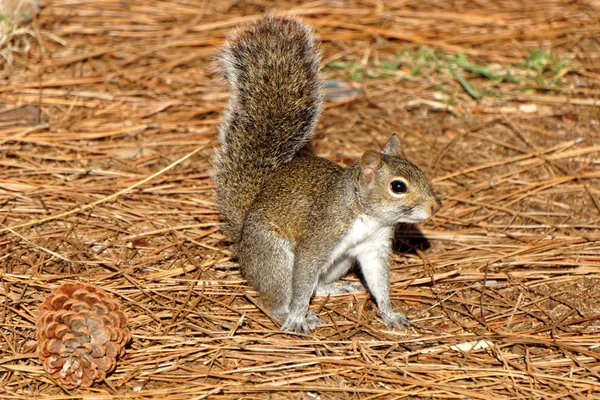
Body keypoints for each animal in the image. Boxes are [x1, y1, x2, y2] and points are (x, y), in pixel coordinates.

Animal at [212, 15, 440, 332]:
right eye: (398, 186)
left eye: (421, 171)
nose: (435, 206)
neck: (366, 214)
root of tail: (242, 239)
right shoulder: (319, 236)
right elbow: (303, 280)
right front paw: (297, 315)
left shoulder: (373, 246)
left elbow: (378, 280)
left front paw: (390, 313)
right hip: (275, 258)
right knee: (275, 297)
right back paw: (289, 315)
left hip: (340, 261)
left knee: (317, 285)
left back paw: (336, 288)